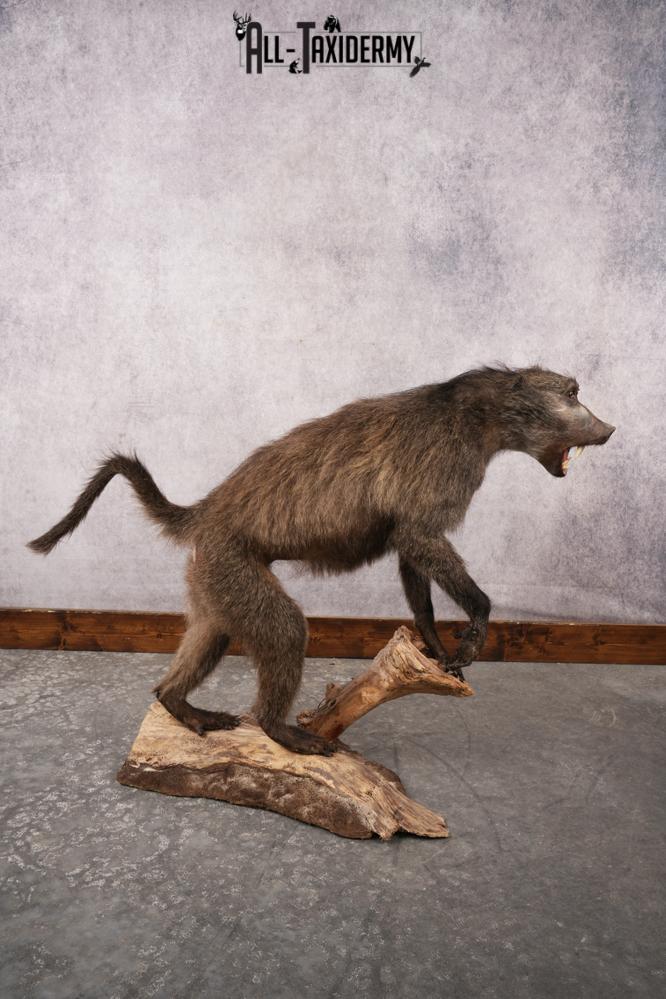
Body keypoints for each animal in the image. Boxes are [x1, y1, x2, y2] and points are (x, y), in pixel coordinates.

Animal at [28, 365, 615, 756]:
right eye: (572, 393)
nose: (608, 429)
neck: (477, 414)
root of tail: (207, 510)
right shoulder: (443, 468)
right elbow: (419, 537)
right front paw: (476, 624)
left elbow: (410, 549)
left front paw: (433, 641)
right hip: (228, 561)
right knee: (285, 629)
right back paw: (280, 730)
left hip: (211, 574)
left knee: (213, 630)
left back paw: (176, 702)